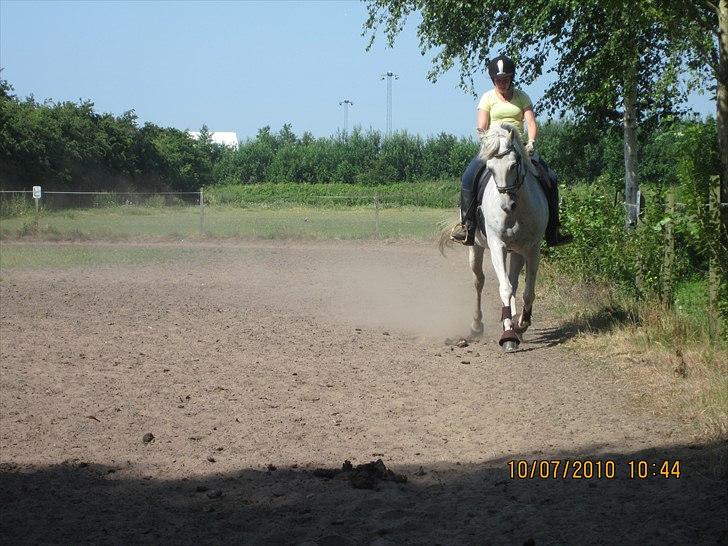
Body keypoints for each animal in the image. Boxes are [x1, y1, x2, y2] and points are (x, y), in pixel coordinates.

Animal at [456, 123, 544, 350]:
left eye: (514, 165)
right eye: (491, 168)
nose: (506, 205)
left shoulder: (532, 248)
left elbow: (527, 291)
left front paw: (521, 325)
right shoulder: (497, 246)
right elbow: (504, 288)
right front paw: (508, 336)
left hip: (517, 251)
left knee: (513, 283)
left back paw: (512, 322)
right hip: (476, 247)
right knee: (479, 281)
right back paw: (477, 326)